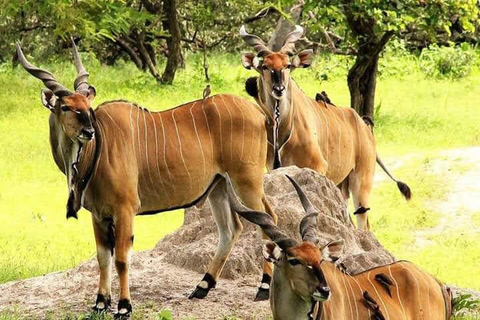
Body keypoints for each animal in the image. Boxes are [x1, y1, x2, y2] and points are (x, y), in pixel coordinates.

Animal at [15, 40, 278, 318]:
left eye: (88, 108)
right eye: (66, 107)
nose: (88, 131)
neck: (99, 148)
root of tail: (259, 112)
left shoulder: (125, 209)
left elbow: (121, 258)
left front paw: (123, 306)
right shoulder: (99, 215)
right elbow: (102, 257)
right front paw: (100, 303)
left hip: (246, 181)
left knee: (267, 219)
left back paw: (263, 287)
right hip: (219, 186)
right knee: (231, 229)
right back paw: (203, 286)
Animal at [238, 25, 410, 230]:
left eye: (287, 65)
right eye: (265, 66)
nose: (279, 89)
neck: (283, 130)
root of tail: (365, 127)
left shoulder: (317, 166)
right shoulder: (275, 168)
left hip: (361, 180)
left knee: (362, 219)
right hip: (341, 185)